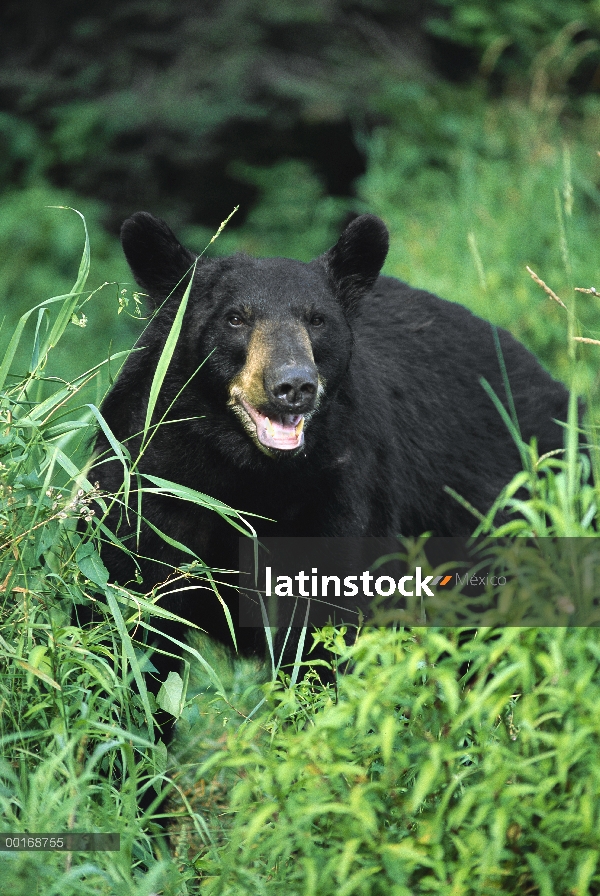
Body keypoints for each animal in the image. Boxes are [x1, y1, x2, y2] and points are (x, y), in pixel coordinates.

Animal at [94, 208, 572, 688]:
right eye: (235, 318)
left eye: (317, 319)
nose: (293, 385)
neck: (248, 472)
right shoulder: (152, 483)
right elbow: (129, 617)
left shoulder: (339, 487)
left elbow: (329, 625)